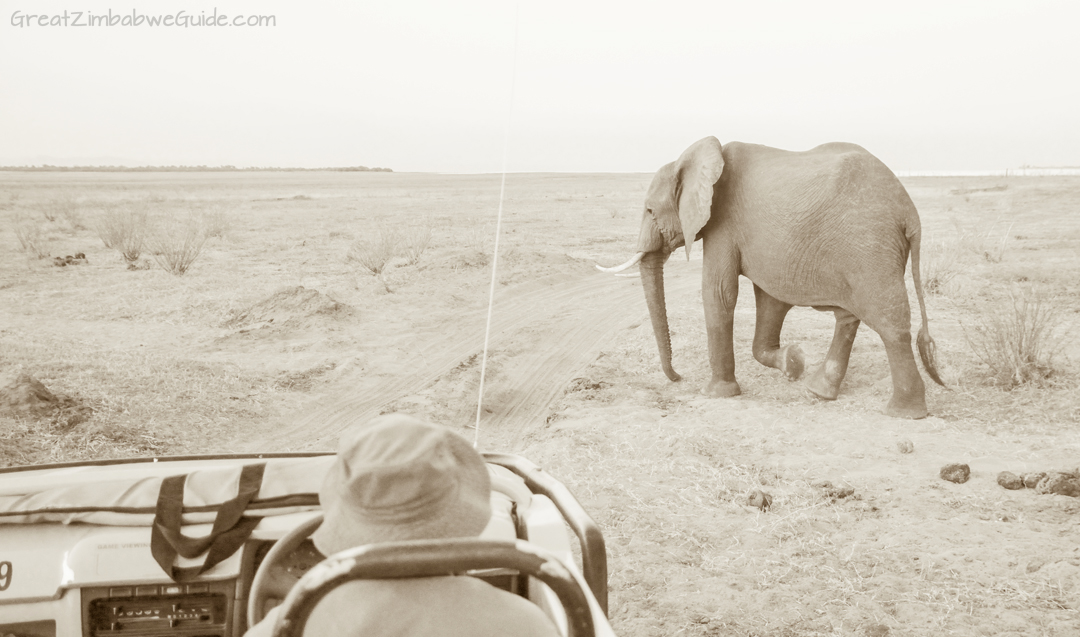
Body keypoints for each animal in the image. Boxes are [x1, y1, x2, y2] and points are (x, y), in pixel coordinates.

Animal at [600, 137, 946, 421]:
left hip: (871, 246)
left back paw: (904, 413)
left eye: (649, 210)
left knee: (890, 323)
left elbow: (719, 292)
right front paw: (794, 362)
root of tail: (910, 213)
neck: (694, 161)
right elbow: (769, 301)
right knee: (848, 317)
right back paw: (819, 390)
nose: (678, 377)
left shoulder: (723, 222)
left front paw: (717, 394)